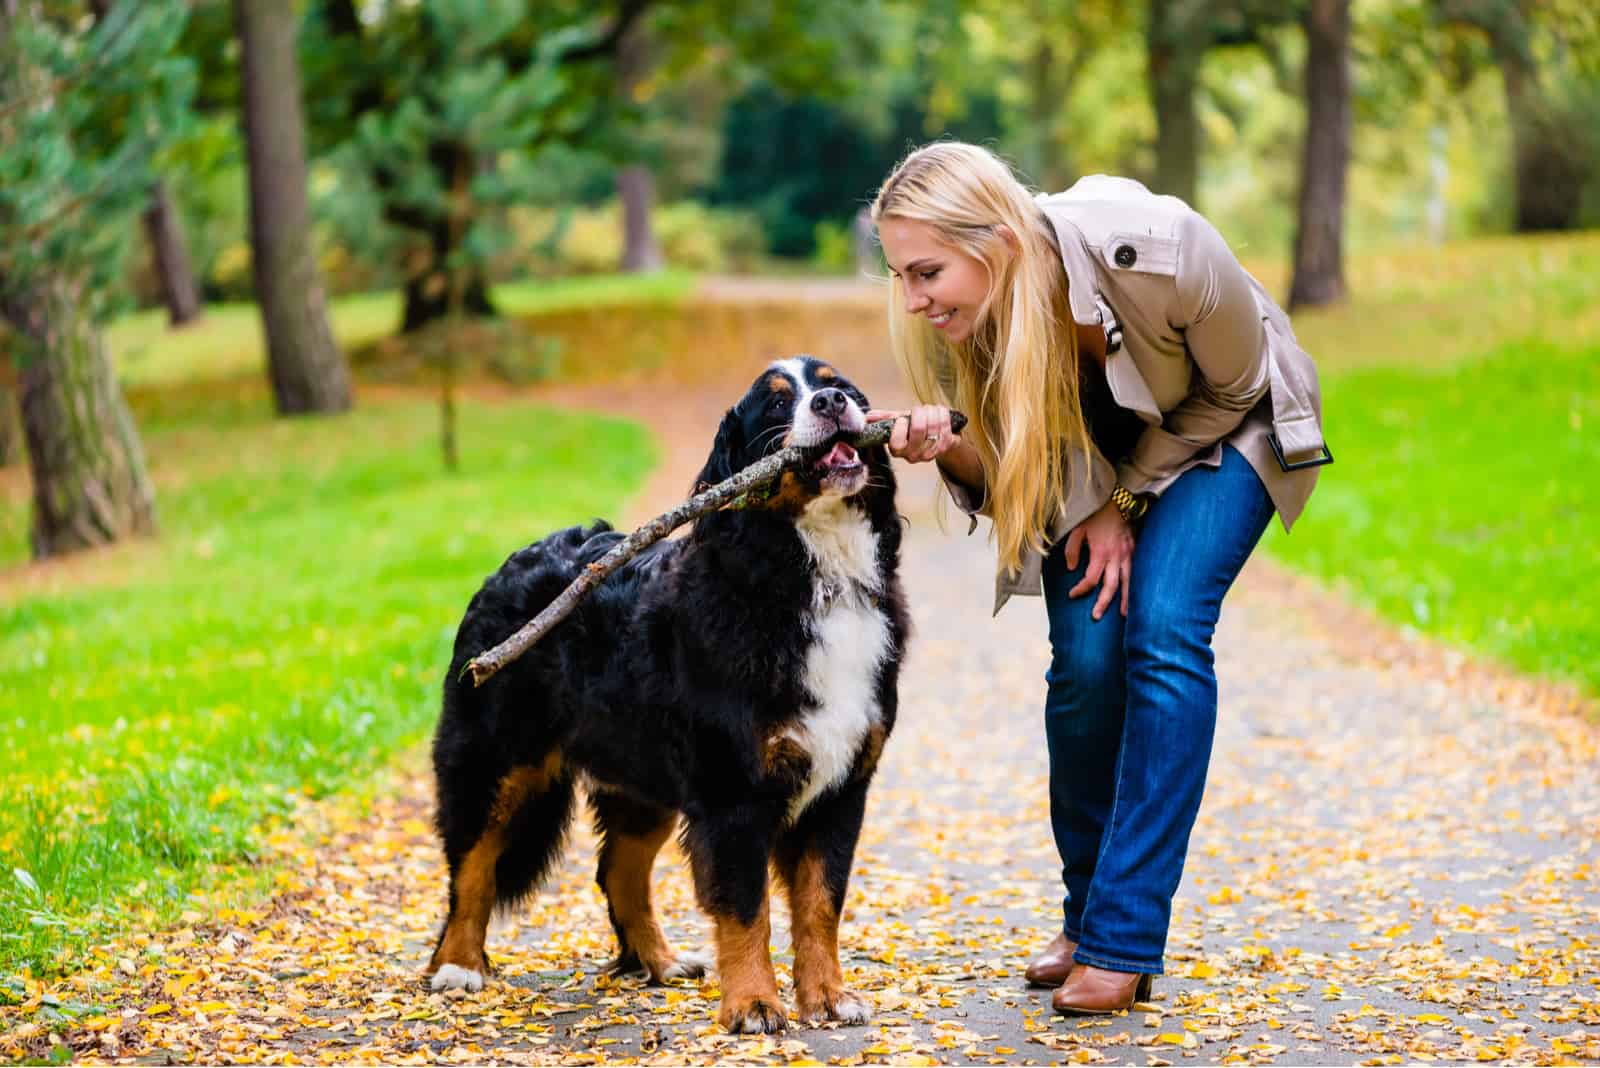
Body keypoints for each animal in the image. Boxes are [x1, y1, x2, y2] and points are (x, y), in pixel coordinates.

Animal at [425, 356, 908, 1036]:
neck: (812, 575)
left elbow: (820, 903)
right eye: (777, 404)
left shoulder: (841, 787)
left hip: (642, 775)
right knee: (471, 869)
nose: (833, 403)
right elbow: (746, 909)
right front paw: (754, 1005)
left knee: (617, 871)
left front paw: (829, 997)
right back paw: (458, 967)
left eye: (838, 384)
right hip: (497, 762)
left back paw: (659, 961)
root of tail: (508, 566)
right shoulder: (734, 790)